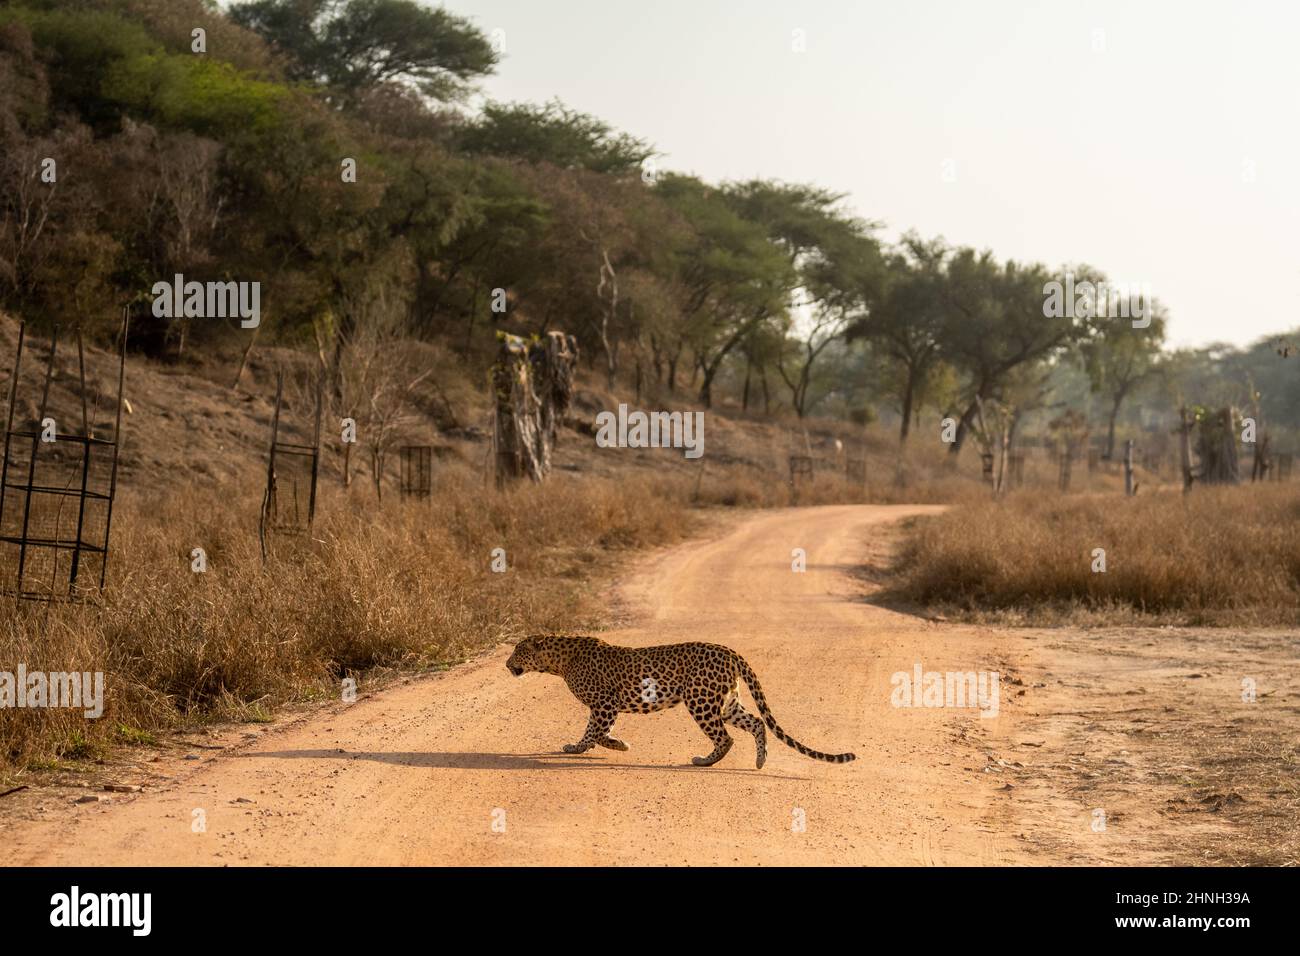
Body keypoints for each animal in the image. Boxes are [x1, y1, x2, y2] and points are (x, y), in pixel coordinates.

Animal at [501, 634, 857, 770]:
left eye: (517, 652)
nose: (505, 664)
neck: (558, 661)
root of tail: (730, 651)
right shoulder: (607, 706)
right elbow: (600, 731)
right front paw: (617, 744)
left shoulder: (604, 703)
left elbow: (593, 732)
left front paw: (579, 748)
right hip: (726, 701)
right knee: (756, 723)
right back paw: (760, 760)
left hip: (700, 700)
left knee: (725, 737)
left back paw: (704, 761)